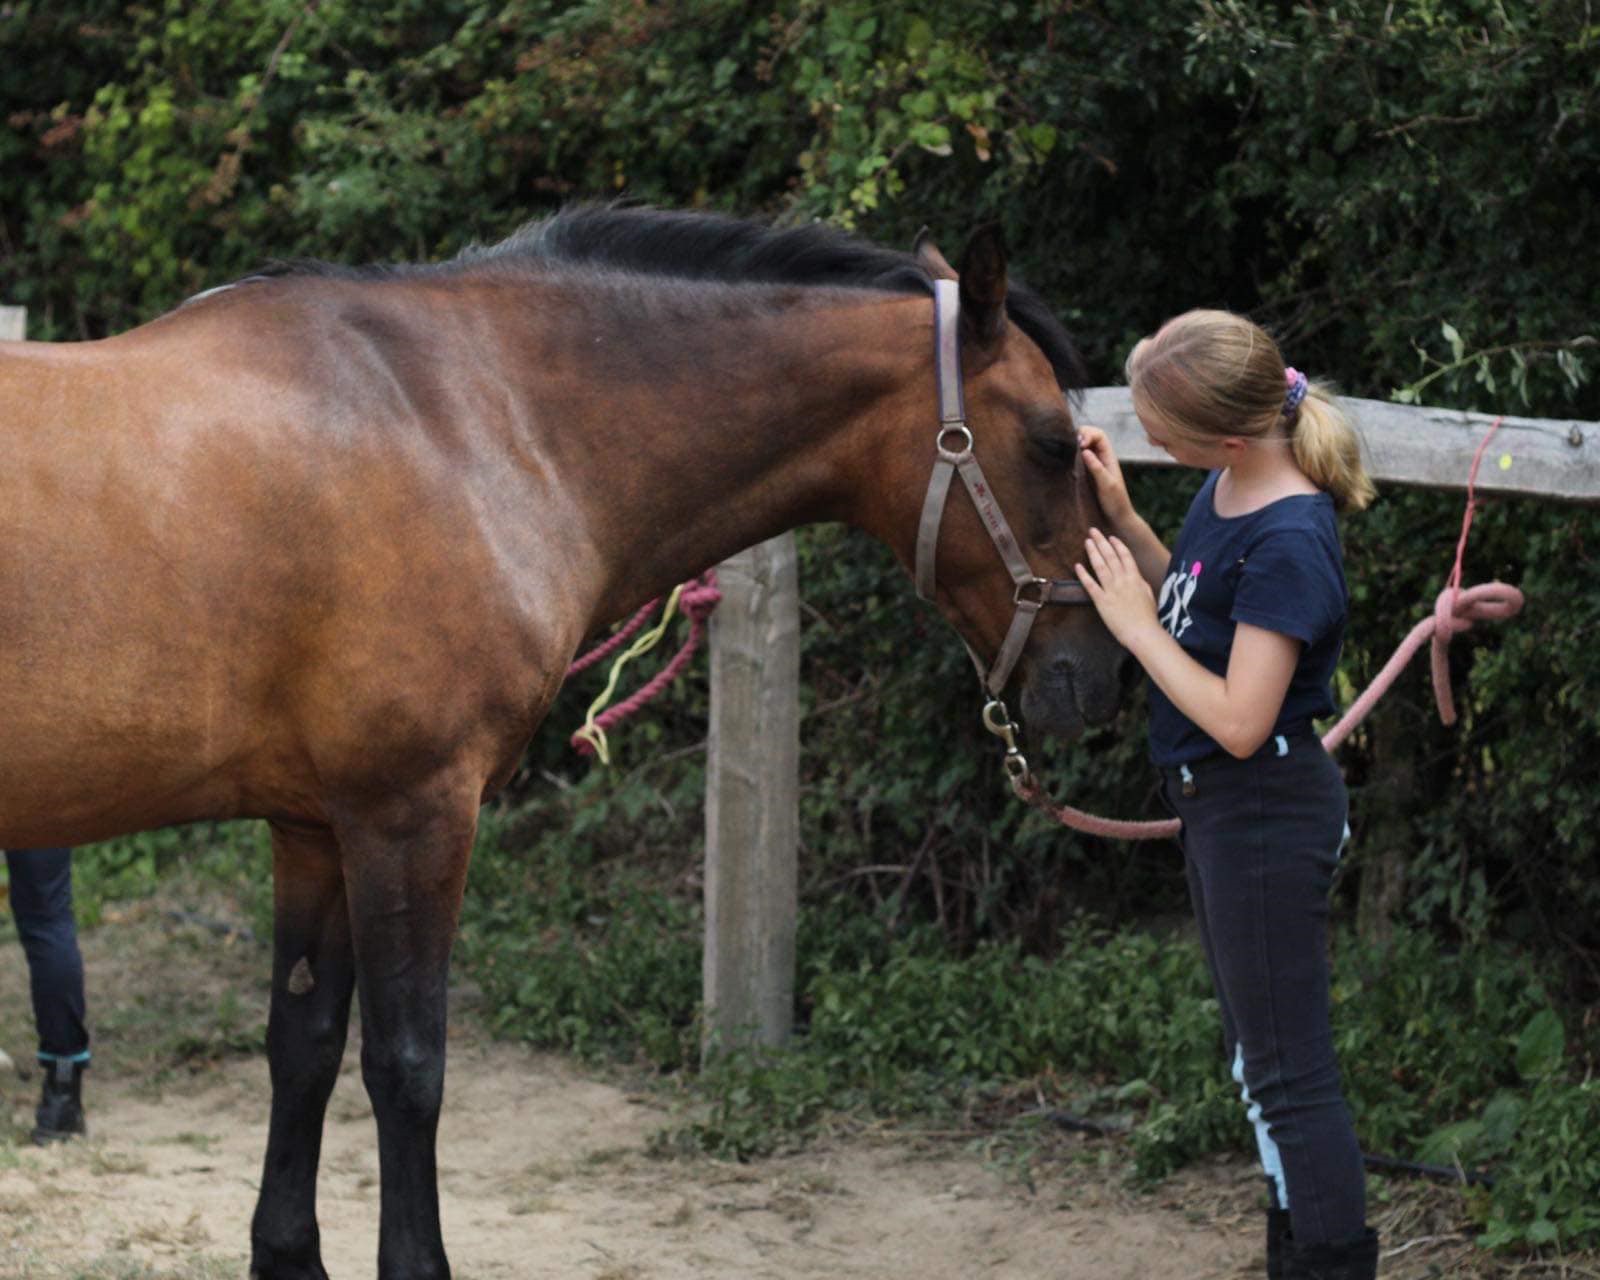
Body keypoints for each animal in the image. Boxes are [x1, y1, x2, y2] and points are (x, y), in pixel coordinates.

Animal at [0, 205, 1124, 1278]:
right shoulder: (410, 812)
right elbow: (407, 1064)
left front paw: (287, 1252)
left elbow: (304, 1044)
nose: (1097, 668)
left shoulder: (314, 824)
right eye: (1049, 443)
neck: (469, 420)